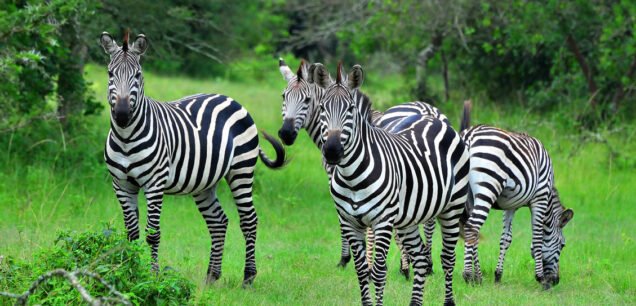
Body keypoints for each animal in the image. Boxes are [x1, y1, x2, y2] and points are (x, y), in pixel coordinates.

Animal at [100, 32, 286, 286]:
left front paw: (153, 276)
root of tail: (229, 98)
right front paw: (128, 271)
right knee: (218, 222)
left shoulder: (154, 184)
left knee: (249, 220)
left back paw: (248, 277)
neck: (126, 137)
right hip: (205, 183)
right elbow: (131, 234)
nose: (121, 115)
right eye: (110, 73)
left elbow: (152, 234)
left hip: (241, 170)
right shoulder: (121, 185)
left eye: (138, 75)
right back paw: (212, 276)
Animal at [278, 58, 442, 276]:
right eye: (284, 96)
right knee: (430, 219)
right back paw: (428, 264)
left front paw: (347, 259)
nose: (286, 134)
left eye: (307, 100)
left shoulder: (341, 180)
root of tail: (427, 110)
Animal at [316, 62, 470, 306]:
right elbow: (361, 271)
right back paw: (415, 302)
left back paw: (449, 301)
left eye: (351, 109)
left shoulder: (382, 221)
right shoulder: (349, 222)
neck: (352, 177)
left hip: (452, 208)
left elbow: (379, 272)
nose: (331, 151)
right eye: (322, 108)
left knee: (447, 258)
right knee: (420, 257)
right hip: (409, 219)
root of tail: (435, 118)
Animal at [458, 101, 576, 290]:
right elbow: (537, 238)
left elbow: (505, 239)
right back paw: (469, 276)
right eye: (563, 245)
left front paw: (498, 275)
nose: (556, 281)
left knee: (470, 228)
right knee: (472, 227)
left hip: (466, 194)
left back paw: (478, 276)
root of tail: (469, 135)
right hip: (488, 187)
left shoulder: (510, 205)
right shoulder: (540, 198)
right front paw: (540, 278)